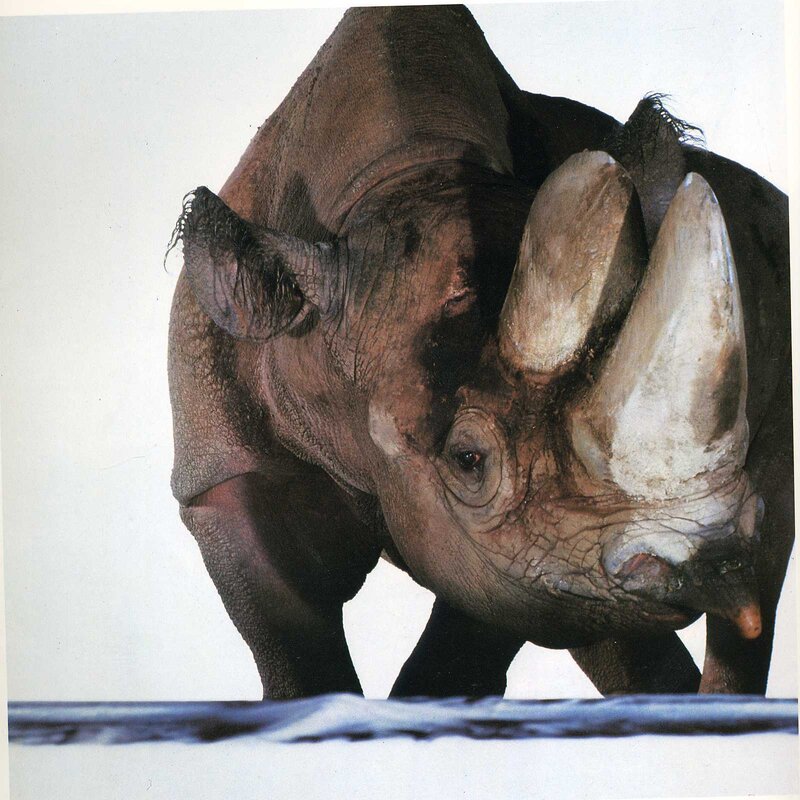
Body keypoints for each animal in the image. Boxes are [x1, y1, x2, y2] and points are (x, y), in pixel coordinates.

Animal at [168, 6, 792, 698]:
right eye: (468, 460)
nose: (714, 565)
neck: (409, 176)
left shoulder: (518, 557)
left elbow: (466, 645)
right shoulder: (221, 470)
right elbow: (297, 648)